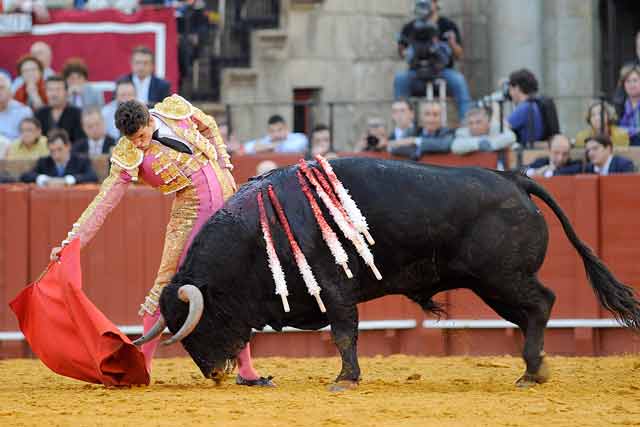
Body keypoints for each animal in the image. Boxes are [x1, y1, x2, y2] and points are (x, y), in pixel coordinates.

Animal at [138, 160, 636, 388]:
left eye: (199, 326)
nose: (212, 374)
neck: (255, 236)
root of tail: (514, 178)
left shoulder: (335, 290)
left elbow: (344, 334)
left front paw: (345, 379)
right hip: (494, 285)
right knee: (531, 312)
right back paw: (532, 370)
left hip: (502, 277)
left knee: (542, 304)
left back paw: (532, 371)